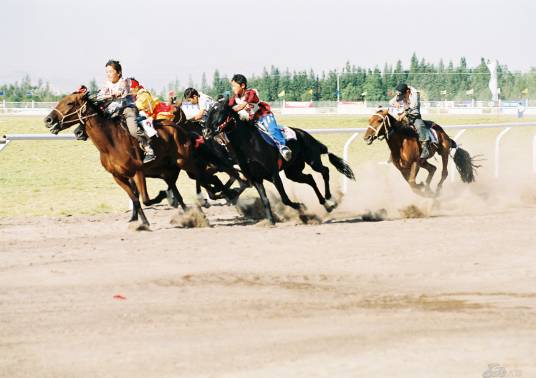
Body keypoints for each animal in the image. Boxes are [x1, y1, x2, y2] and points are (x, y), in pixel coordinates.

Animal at [45, 91, 242, 227]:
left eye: (70, 103)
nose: (48, 120)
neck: (111, 142)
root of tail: (181, 129)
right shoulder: (119, 176)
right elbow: (135, 198)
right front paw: (141, 221)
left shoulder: (138, 171)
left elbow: (145, 198)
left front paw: (160, 197)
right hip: (172, 168)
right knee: (195, 182)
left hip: (186, 162)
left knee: (209, 176)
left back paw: (227, 194)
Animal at [203, 99, 354, 226]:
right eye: (209, 112)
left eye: (219, 111)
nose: (206, 131)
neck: (248, 144)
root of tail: (304, 134)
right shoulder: (256, 178)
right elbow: (265, 200)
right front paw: (271, 221)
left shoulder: (273, 173)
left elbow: (285, 198)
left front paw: (301, 207)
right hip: (293, 171)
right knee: (310, 179)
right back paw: (326, 204)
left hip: (312, 159)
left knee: (324, 171)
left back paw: (330, 199)